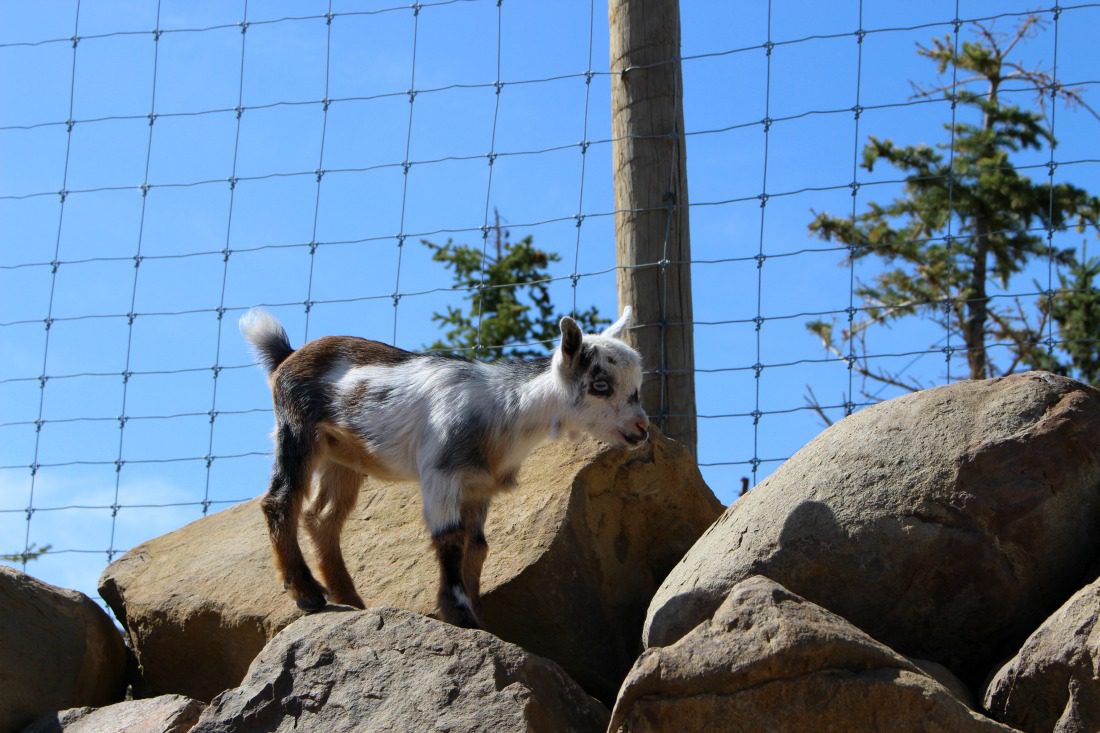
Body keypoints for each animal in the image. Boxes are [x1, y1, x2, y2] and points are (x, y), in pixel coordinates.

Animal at [241, 307, 649, 628]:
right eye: (600, 385)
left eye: (636, 387)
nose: (642, 429)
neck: (505, 412)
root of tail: (287, 355)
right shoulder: (442, 474)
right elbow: (450, 540)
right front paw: (461, 617)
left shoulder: (479, 487)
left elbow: (478, 546)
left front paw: (477, 616)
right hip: (297, 430)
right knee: (280, 501)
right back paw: (307, 593)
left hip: (342, 458)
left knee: (322, 517)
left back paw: (352, 602)